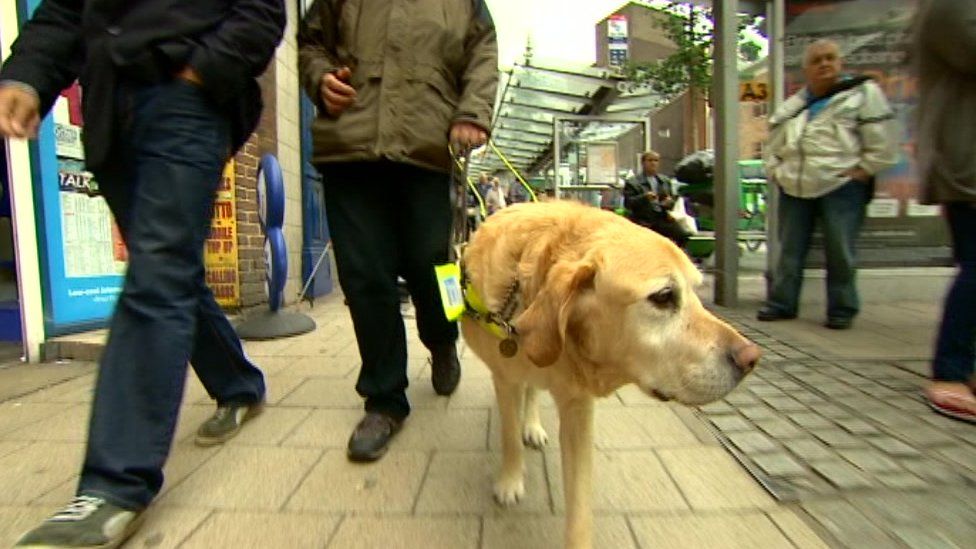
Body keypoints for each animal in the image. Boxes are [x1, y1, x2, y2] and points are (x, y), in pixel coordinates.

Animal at [462, 201, 760, 548]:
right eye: (663, 296)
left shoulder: (577, 406)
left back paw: (532, 425)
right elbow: (509, 437)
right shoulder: (505, 380)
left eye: (697, 291)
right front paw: (510, 481)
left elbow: (579, 504)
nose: (751, 358)